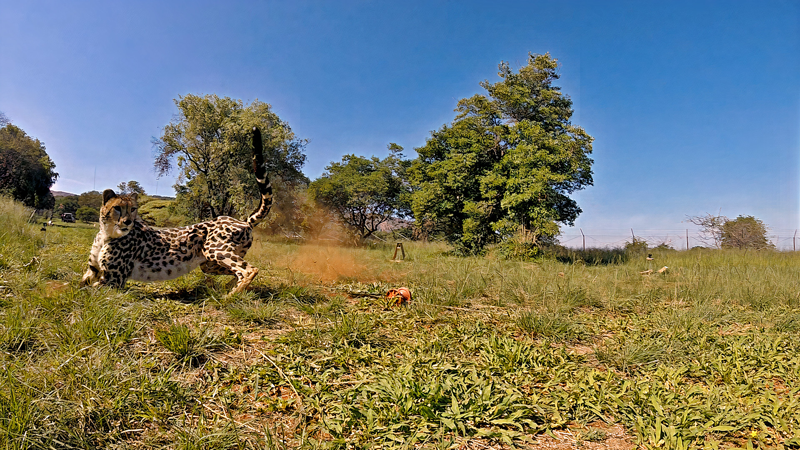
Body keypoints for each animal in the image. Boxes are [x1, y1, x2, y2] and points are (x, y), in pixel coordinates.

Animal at [79, 126, 272, 296]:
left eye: (133, 209)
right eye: (117, 208)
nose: (128, 222)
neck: (107, 232)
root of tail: (243, 221)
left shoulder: (113, 280)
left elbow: (81, 290)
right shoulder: (93, 272)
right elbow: (78, 284)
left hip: (216, 250)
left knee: (249, 270)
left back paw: (230, 296)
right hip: (209, 264)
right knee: (235, 272)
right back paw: (227, 289)